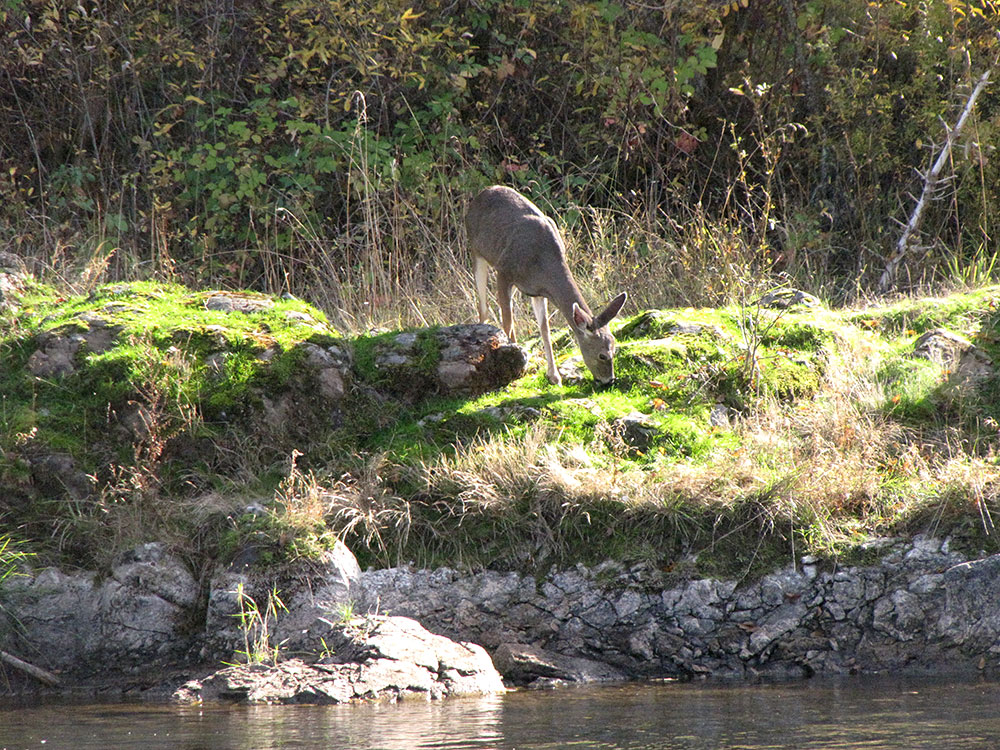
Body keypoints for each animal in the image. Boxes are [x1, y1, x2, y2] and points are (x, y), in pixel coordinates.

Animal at [462, 186, 624, 388]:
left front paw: (554, 376)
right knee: (483, 306)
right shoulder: (504, 271)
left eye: (615, 348)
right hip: (476, 251)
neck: (543, 260)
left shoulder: (538, 291)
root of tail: (483, 193)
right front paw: (512, 360)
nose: (609, 380)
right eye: (602, 355)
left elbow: (544, 328)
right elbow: (507, 320)